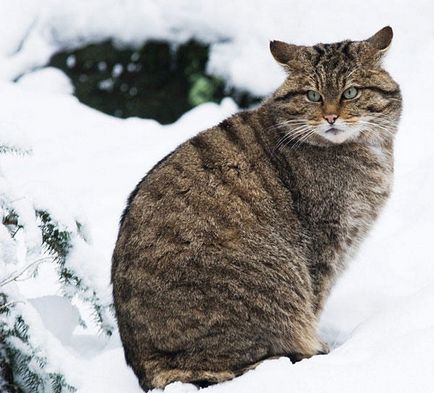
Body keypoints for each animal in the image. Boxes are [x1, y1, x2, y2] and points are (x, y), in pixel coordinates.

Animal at [111, 26, 400, 388]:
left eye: (350, 92)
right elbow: (315, 302)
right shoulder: (325, 246)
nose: (331, 116)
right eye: (313, 95)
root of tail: (149, 366)